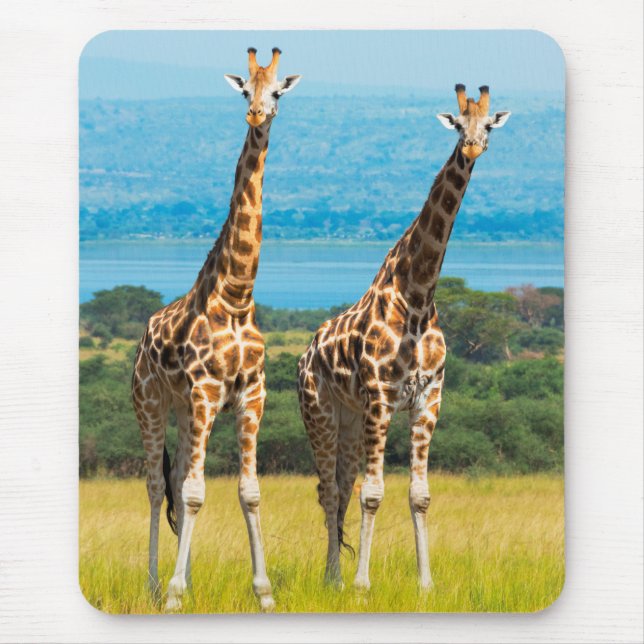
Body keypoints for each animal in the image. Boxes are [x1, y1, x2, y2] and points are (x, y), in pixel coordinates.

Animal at [132, 47, 301, 612]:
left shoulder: (251, 396)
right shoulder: (206, 392)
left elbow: (247, 492)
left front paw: (264, 593)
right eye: (245, 89)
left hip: (187, 414)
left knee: (177, 479)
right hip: (152, 403)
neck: (236, 297)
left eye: (276, 91)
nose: (256, 115)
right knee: (157, 486)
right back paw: (156, 584)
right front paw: (175, 594)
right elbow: (193, 493)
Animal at [297, 85, 510, 591]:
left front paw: (426, 582)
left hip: (351, 420)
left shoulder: (428, 398)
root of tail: (304, 355)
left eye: (489, 125)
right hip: (320, 411)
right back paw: (334, 579)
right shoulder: (380, 395)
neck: (417, 296)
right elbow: (373, 493)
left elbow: (419, 495)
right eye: (458, 123)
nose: (472, 147)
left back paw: (335, 575)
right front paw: (362, 584)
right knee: (329, 489)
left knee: (341, 485)